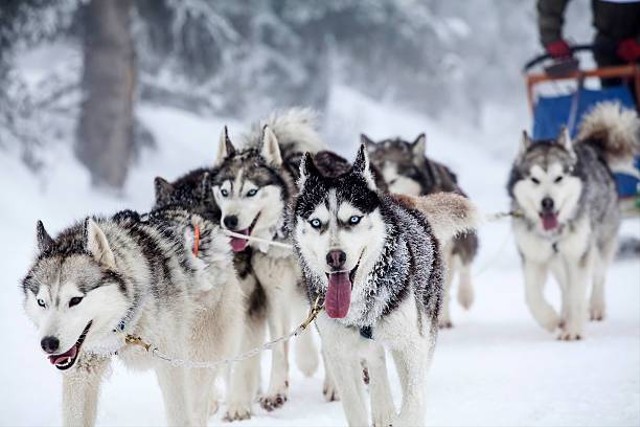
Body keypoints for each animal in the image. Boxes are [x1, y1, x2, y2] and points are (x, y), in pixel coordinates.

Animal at [20, 206, 245, 424]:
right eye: (42, 302)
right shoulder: (81, 372)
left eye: (75, 300)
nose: (48, 344)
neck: (126, 324)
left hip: (198, 356)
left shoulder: (171, 365)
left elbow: (180, 415)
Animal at [212, 108, 324, 412]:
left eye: (251, 191)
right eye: (224, 191)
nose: (230, 220)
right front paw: (276, 390)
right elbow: (278, 347)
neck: (284, 238)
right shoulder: (274, 295)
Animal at [508, 103, 636, 342]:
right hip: (559, 262)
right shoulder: (533, 257)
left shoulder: (579, 256)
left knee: (598, 276)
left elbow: (577, 294)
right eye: (535, 180)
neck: (554, 235)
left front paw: (574, 331)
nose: (547, 203)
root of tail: (591, 147)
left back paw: (595, 307)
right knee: (565, 287)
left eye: (558, 178)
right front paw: (551, 320)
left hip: (597, 246)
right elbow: (532, 296)